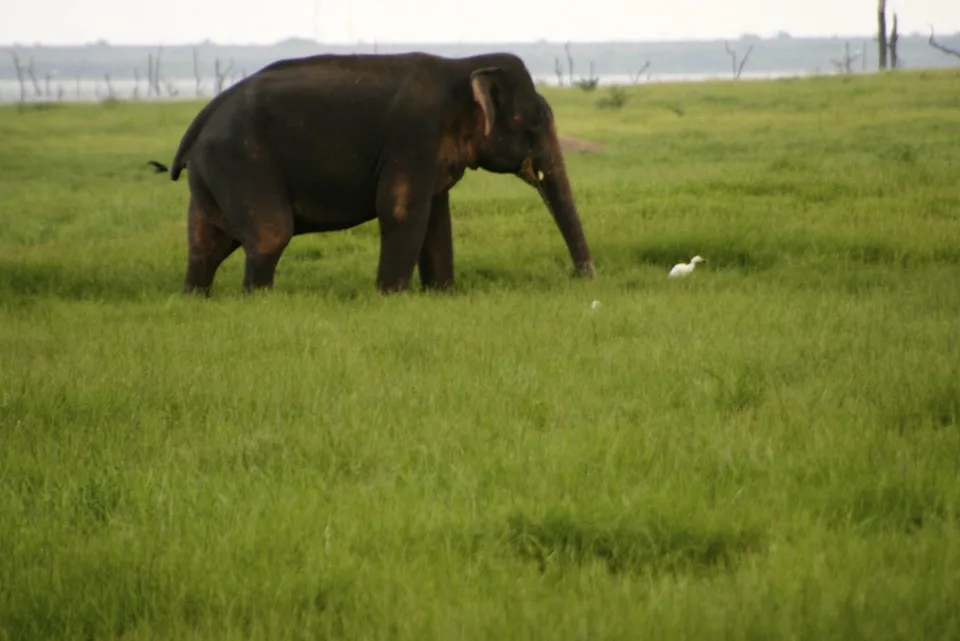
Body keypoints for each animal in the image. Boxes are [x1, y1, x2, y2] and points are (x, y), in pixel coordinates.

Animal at [144, 50, 592, 296]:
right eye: (532, 127)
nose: (582, 279)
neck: (464, 67)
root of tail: (201, 120)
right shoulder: (413, 138)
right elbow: (402, 213)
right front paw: (392, 298)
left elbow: (436, 222)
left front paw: (442, 295)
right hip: (240, 161)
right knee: (270, 235)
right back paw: (258, 302)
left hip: (214, 173)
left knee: (207, 246)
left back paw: (195, 299)